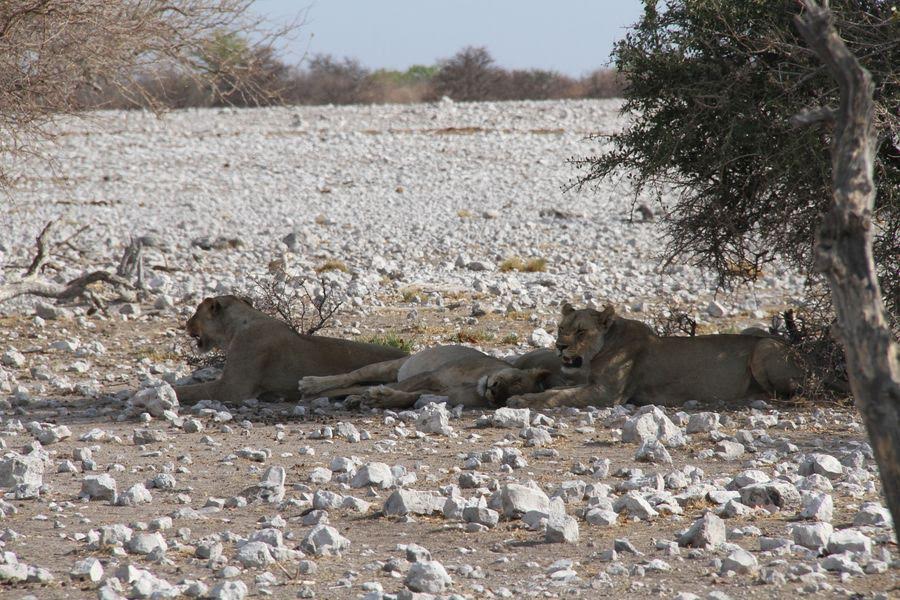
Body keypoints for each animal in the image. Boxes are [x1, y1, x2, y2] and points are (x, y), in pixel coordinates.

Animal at [507, 303, 804, 409]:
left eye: (580, 331)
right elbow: (555, 391)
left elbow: (558, 397)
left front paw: (520, 401)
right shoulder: (594, 385)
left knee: (785, 393)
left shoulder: (608, 394)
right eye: (561, 328)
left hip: (765, 346)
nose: (559, 346)